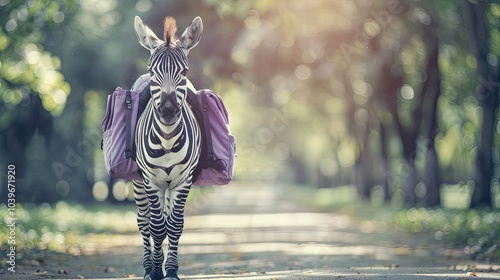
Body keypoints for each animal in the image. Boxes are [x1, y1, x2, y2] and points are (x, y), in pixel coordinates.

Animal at [133, 15, 203, 280]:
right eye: (152, 71)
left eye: (184, 72)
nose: (169, 111)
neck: (167, 140)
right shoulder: (150, 180)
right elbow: (156, 227)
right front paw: (155, 270)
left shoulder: (184, 180)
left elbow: (174, 226)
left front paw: (170, 270)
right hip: (139, 183)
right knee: (144, 221)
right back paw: (147, 266)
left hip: (169, 185)